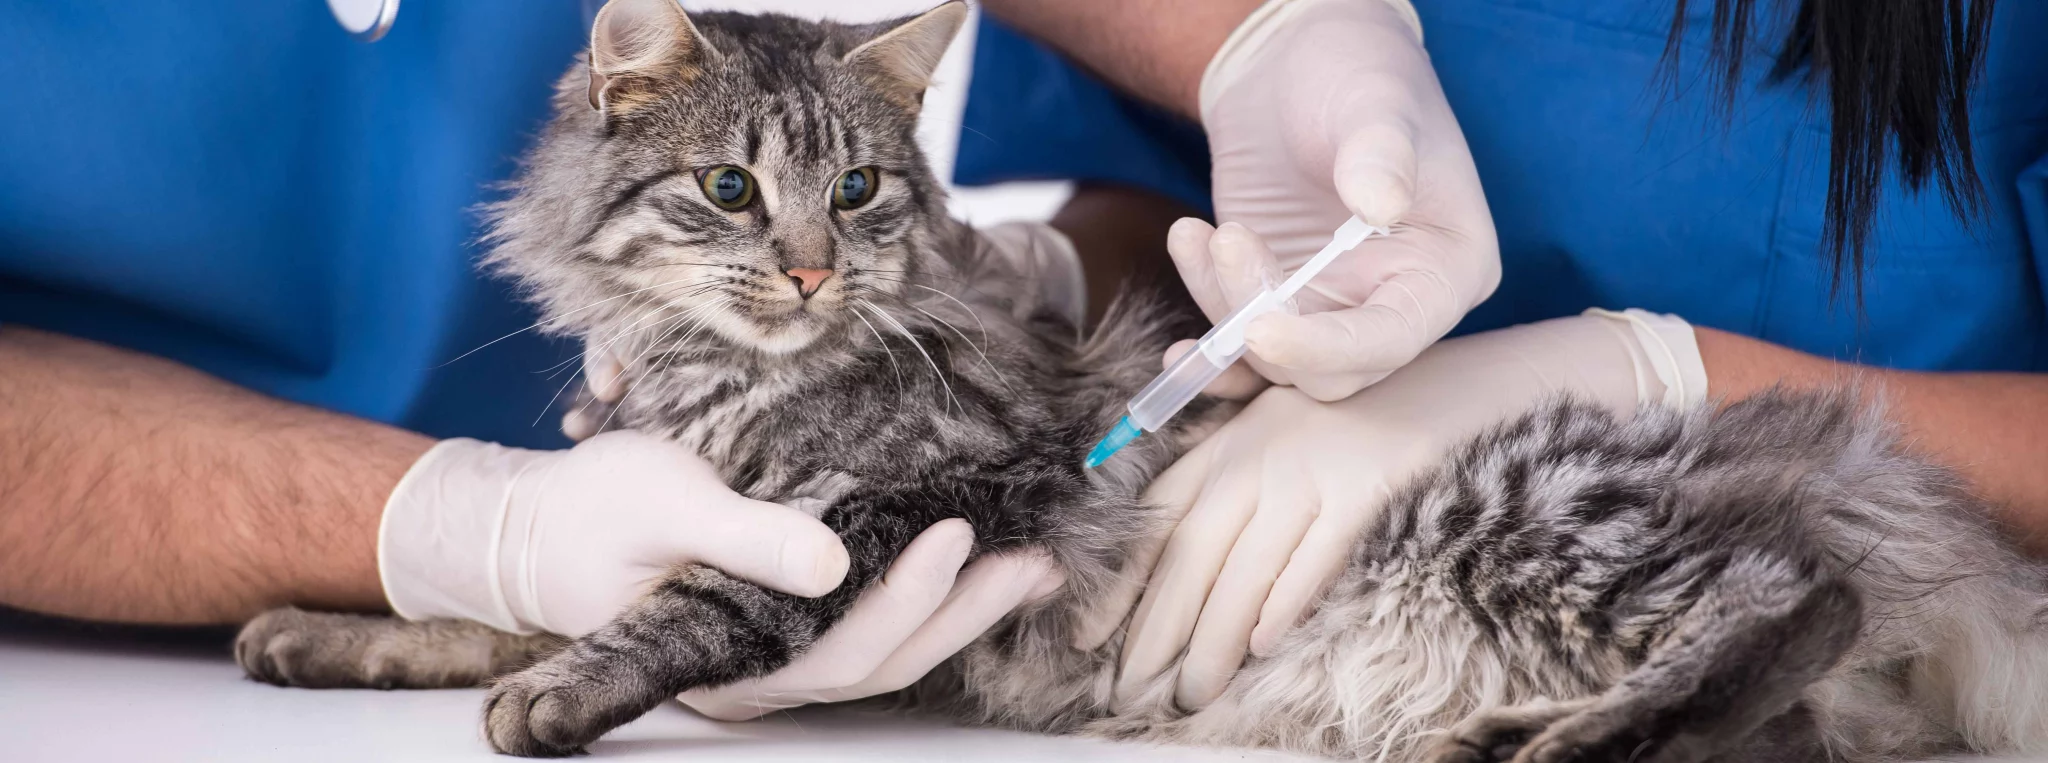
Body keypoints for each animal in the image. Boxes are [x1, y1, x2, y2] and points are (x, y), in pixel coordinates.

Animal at [232, 2, 2048, 756]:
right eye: (731, 188)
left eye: (858, 189)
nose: (811, 267)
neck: (717, 377)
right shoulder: (659, 489)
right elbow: (522, 585)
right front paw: (341, 626)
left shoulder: (930, 500)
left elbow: (691, 603)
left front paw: (556, 693)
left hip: (1527, 512)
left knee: (1788, 601)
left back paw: (1570, 732)